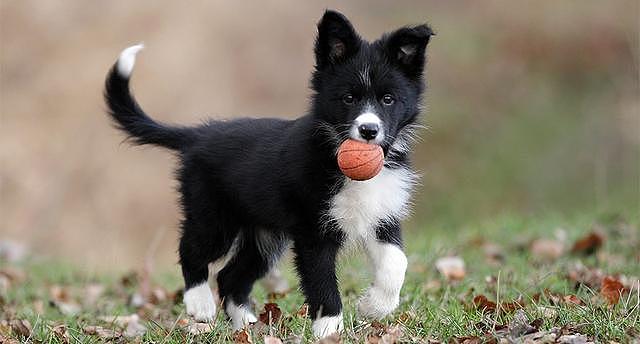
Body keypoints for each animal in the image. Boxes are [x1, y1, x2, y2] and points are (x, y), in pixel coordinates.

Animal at [105, 9, 432, 338]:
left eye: (388, 99)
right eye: (348, 98)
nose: (368, 130)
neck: (334, 154)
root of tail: (199, 135)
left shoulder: (382, 215)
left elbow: (397, 261)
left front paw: (374, 306)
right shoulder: (314, 233)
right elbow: (322, 282)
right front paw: (330, 331)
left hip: (264, 235)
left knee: (231, 276)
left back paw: (247, 326)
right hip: (214, 216)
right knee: (192, 250)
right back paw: (201, 304)